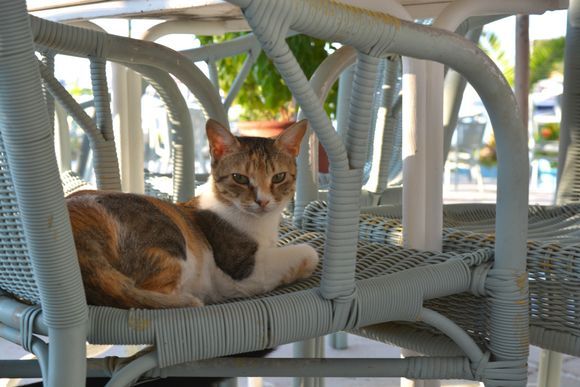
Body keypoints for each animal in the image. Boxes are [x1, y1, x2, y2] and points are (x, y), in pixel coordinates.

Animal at [68, 119, 322, 310]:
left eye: (278, 177)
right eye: (240, 178)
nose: (262, 201)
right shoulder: (241, 269)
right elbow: (308, 252)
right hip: (169, 240)